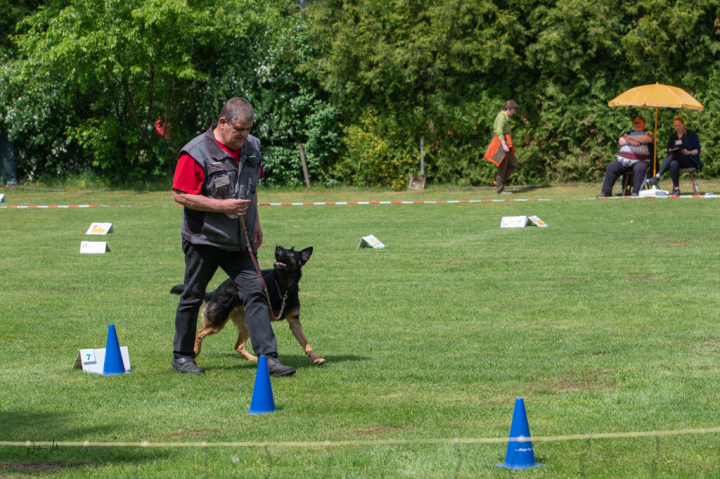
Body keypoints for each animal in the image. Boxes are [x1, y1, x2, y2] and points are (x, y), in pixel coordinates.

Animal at [169, 246, 324, 366]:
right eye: (284, 248)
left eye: (290, 252)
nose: (278, 246)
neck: (282, 286)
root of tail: (216, 290)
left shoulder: (294, 321)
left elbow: (306, 343)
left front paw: (316, 358)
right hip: (217, 323)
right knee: (200, 332)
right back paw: (195, 351)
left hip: (247, 324)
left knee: (238, 346)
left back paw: (254, 359)